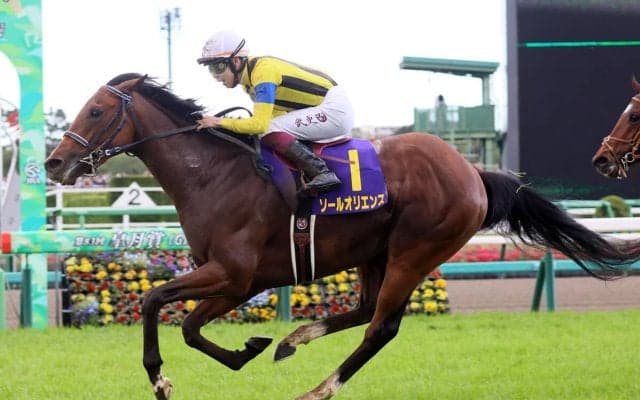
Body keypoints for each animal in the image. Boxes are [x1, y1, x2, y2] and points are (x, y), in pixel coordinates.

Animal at [45, 73, 640, 400]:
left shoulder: (233, 273)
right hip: (374, 251)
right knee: (365, 309)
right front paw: (250, 348)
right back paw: (293, 340)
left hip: (415, 251)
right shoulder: (238, 281)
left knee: (381, 327)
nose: (54, 162)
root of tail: (473, 171)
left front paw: (161, 380)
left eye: (95, 110)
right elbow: (190, 327)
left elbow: (153, 301)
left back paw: (316, 388)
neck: (213, 174)